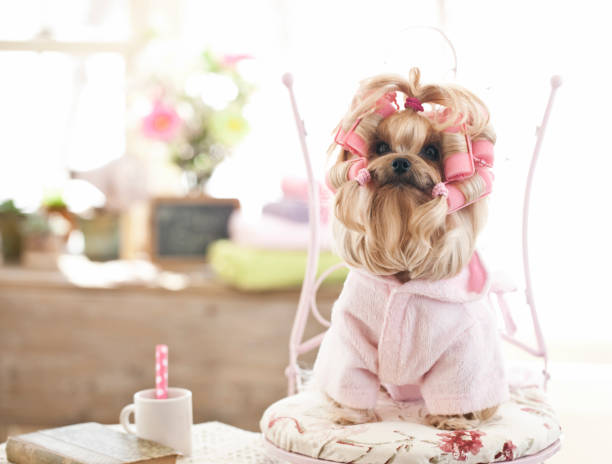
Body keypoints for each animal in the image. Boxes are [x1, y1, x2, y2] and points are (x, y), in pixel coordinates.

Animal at [314, 69, 510, 432]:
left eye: (431, 151)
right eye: (380, 147)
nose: (401, 162)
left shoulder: (462, 351)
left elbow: (457, 384)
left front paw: (451, 419)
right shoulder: (350, 334)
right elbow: (349, 376)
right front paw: (351, 415)